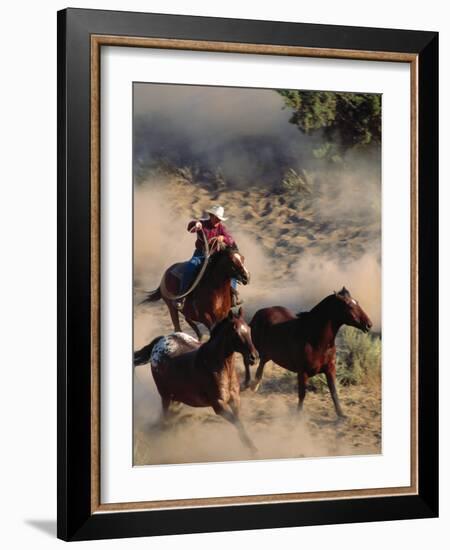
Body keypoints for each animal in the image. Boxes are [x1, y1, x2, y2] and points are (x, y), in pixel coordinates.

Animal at [134, 308, 258, 454]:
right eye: (236, 332)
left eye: (249, 329)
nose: (254, 357)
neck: (216, 366)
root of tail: (159, 342)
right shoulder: (218, 405)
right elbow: (236, 422)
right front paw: (252, 449)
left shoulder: (235, 398)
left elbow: (239, 421)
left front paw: (249, 445)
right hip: (165, 395)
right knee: (165, 414)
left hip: (175, 395)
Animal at [243, 288, 372, 418]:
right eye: (349, 305)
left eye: (357, 302)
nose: (369, 324)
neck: (314, 339)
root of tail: (259, 312)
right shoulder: (302, 372)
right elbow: (302, 394)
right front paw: (298, 416)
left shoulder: (330, 369)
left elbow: (334, 392)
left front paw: (341, 414)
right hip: (254, 349)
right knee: (251, 361)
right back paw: (249, 384)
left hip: (268, 353)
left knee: (262, 363)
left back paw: (254, 385)